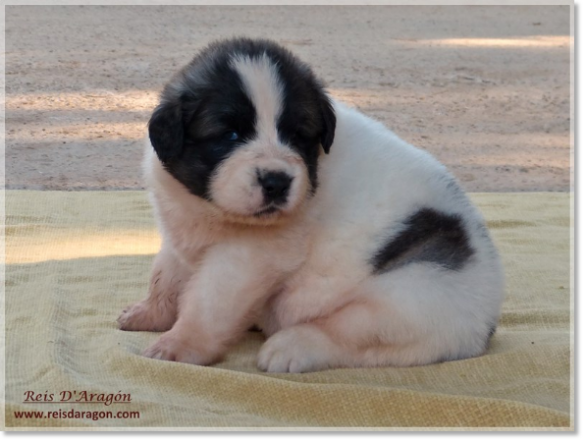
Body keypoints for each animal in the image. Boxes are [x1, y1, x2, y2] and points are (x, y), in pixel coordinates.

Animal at [116, 38, 504, 372]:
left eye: (297, 135)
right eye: (230, 135)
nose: (276, 181)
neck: (213, 210)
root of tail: (487, 323)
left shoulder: (249, 256)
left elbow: (208, 301)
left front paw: (179, 344)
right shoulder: (180, 232)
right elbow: (165, 276)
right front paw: (148, 313)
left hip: (406, 295)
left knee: (346, 334)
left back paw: (288, 347)